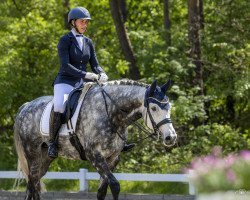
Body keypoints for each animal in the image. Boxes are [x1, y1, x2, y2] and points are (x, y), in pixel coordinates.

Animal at [14, 79, 178, 200]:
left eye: (169, 107)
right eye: (154, 108)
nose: (171, 137)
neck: (112, 114)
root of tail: (26, 106)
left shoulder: (112, 158)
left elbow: (102, 191)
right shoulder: (94, 155)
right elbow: (115, 185)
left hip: (45, 158)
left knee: (33, 184)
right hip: (32, 154)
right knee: (32, 184)